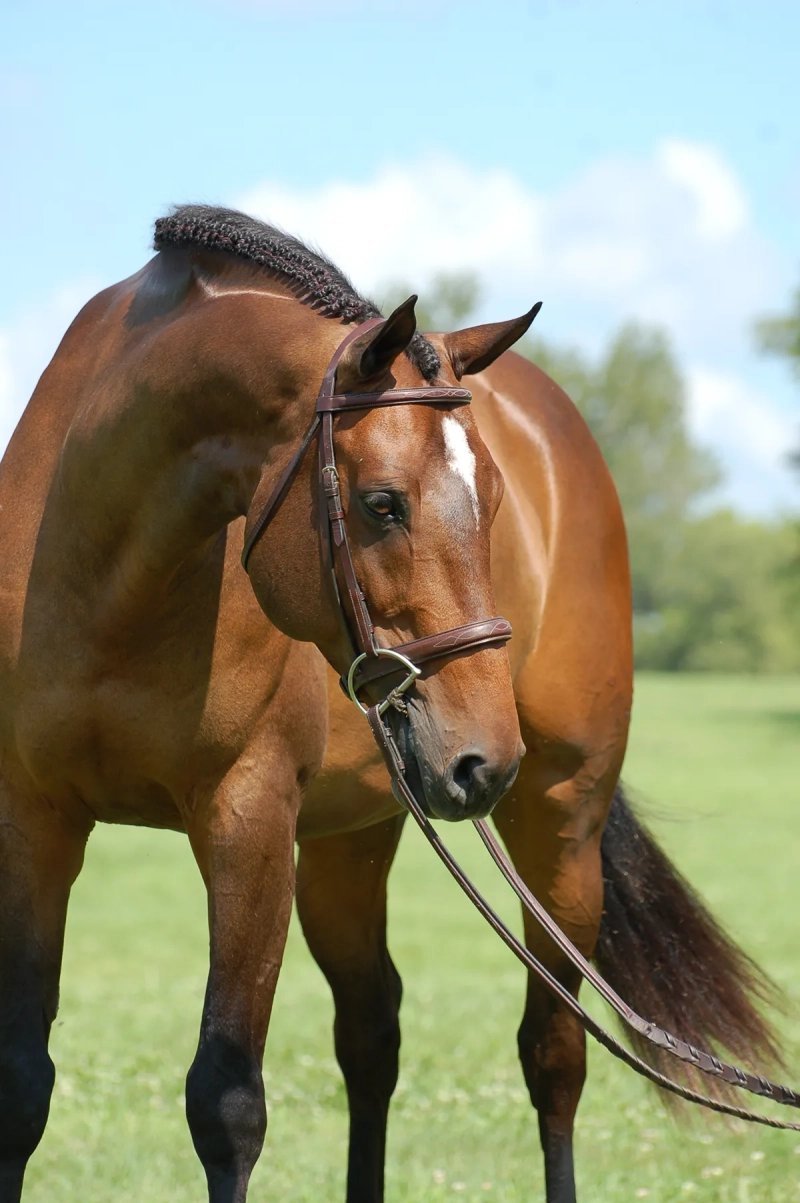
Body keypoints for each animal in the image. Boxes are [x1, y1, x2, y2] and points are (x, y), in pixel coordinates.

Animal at [0, 205, 532, 1203]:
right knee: (372, 1029)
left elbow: (227, 1100)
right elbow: (19, 1080)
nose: (485, 759)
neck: (105, 578)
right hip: (352, 838)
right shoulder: (31, 818)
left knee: (555, 1047)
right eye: (383, 503)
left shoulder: (248, 820)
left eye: (492, 504)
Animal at [296, 348, 781, 1203]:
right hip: (345, 843)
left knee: (554, 1047)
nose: (475, 760)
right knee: (370, 1030)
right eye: (381, 504)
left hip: (560, 830)